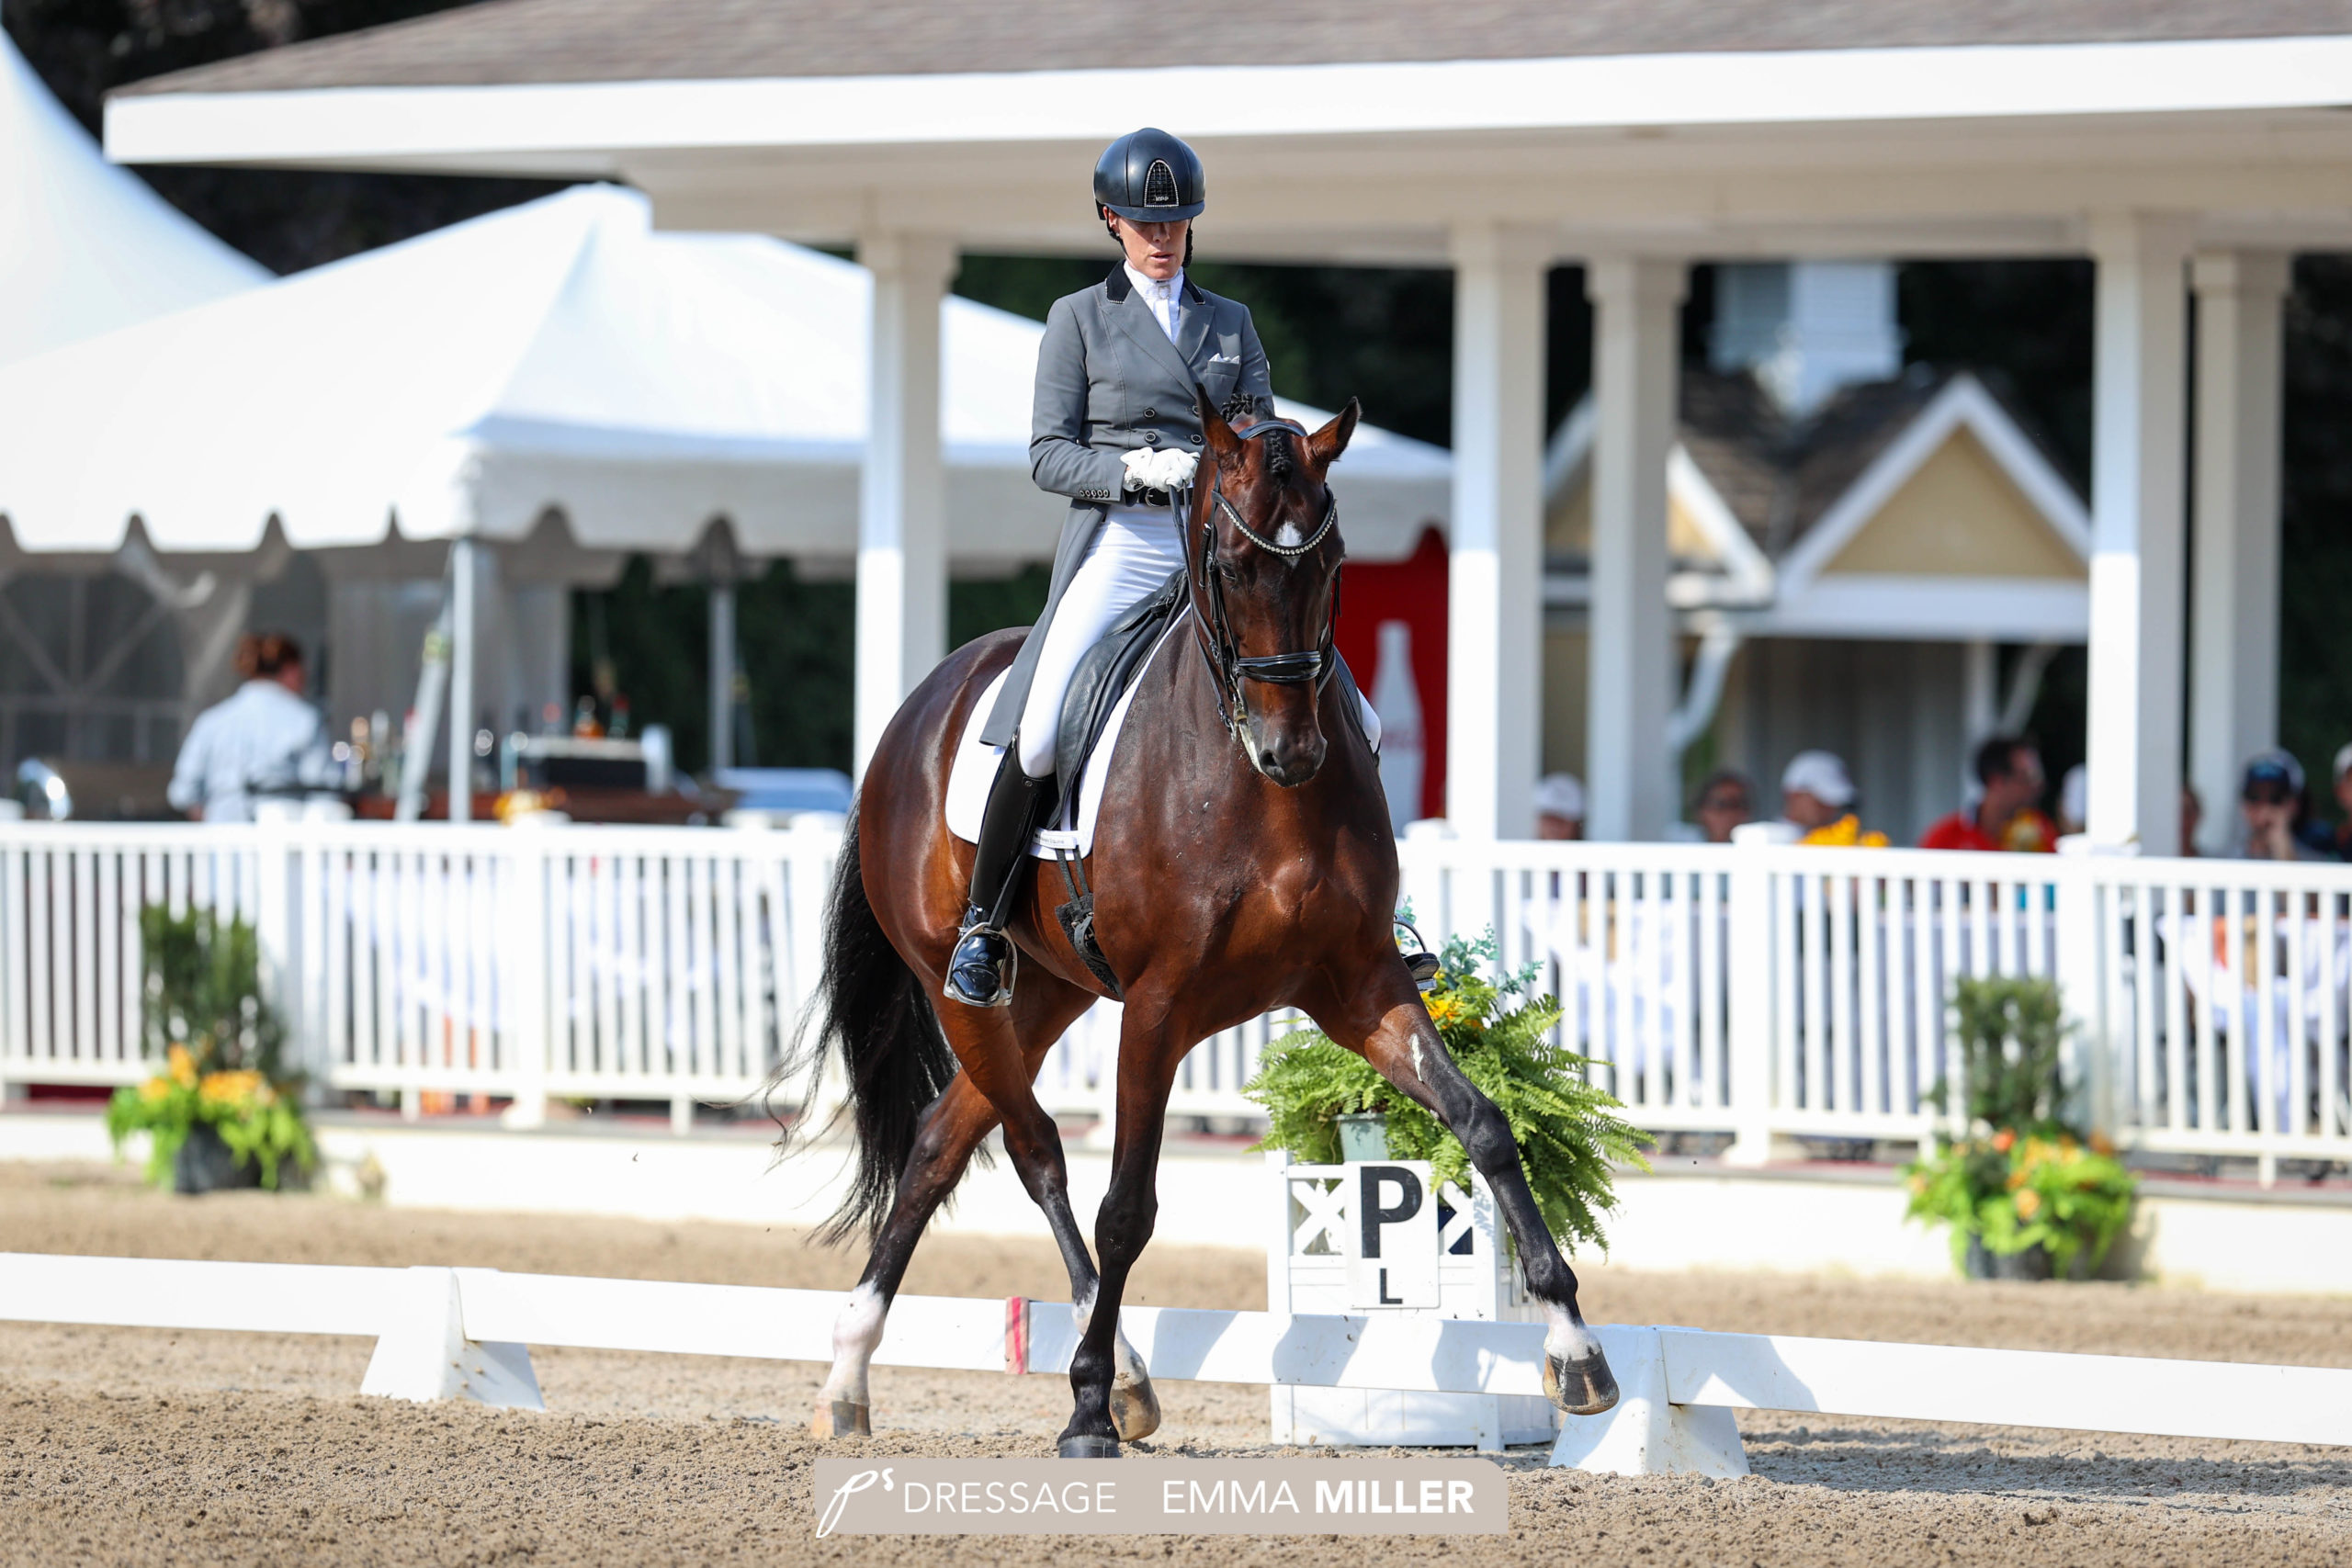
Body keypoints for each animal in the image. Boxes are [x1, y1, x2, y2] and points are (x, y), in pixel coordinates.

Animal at [790, 389, 1618, 1457]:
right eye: (1229, 566)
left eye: (1334, 562)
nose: (1289, 751)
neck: (1261, 795)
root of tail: (916, 710)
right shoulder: (1158, 1009)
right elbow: (1125, 1209)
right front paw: (1086, 1410)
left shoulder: (1360, 985)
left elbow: (1482, 1124)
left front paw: (1575, 1351)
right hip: (957, 982)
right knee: (1033, 1146)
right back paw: (1097, 1375)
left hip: (1047, 990)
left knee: (941, 1139)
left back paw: (853, 1372)